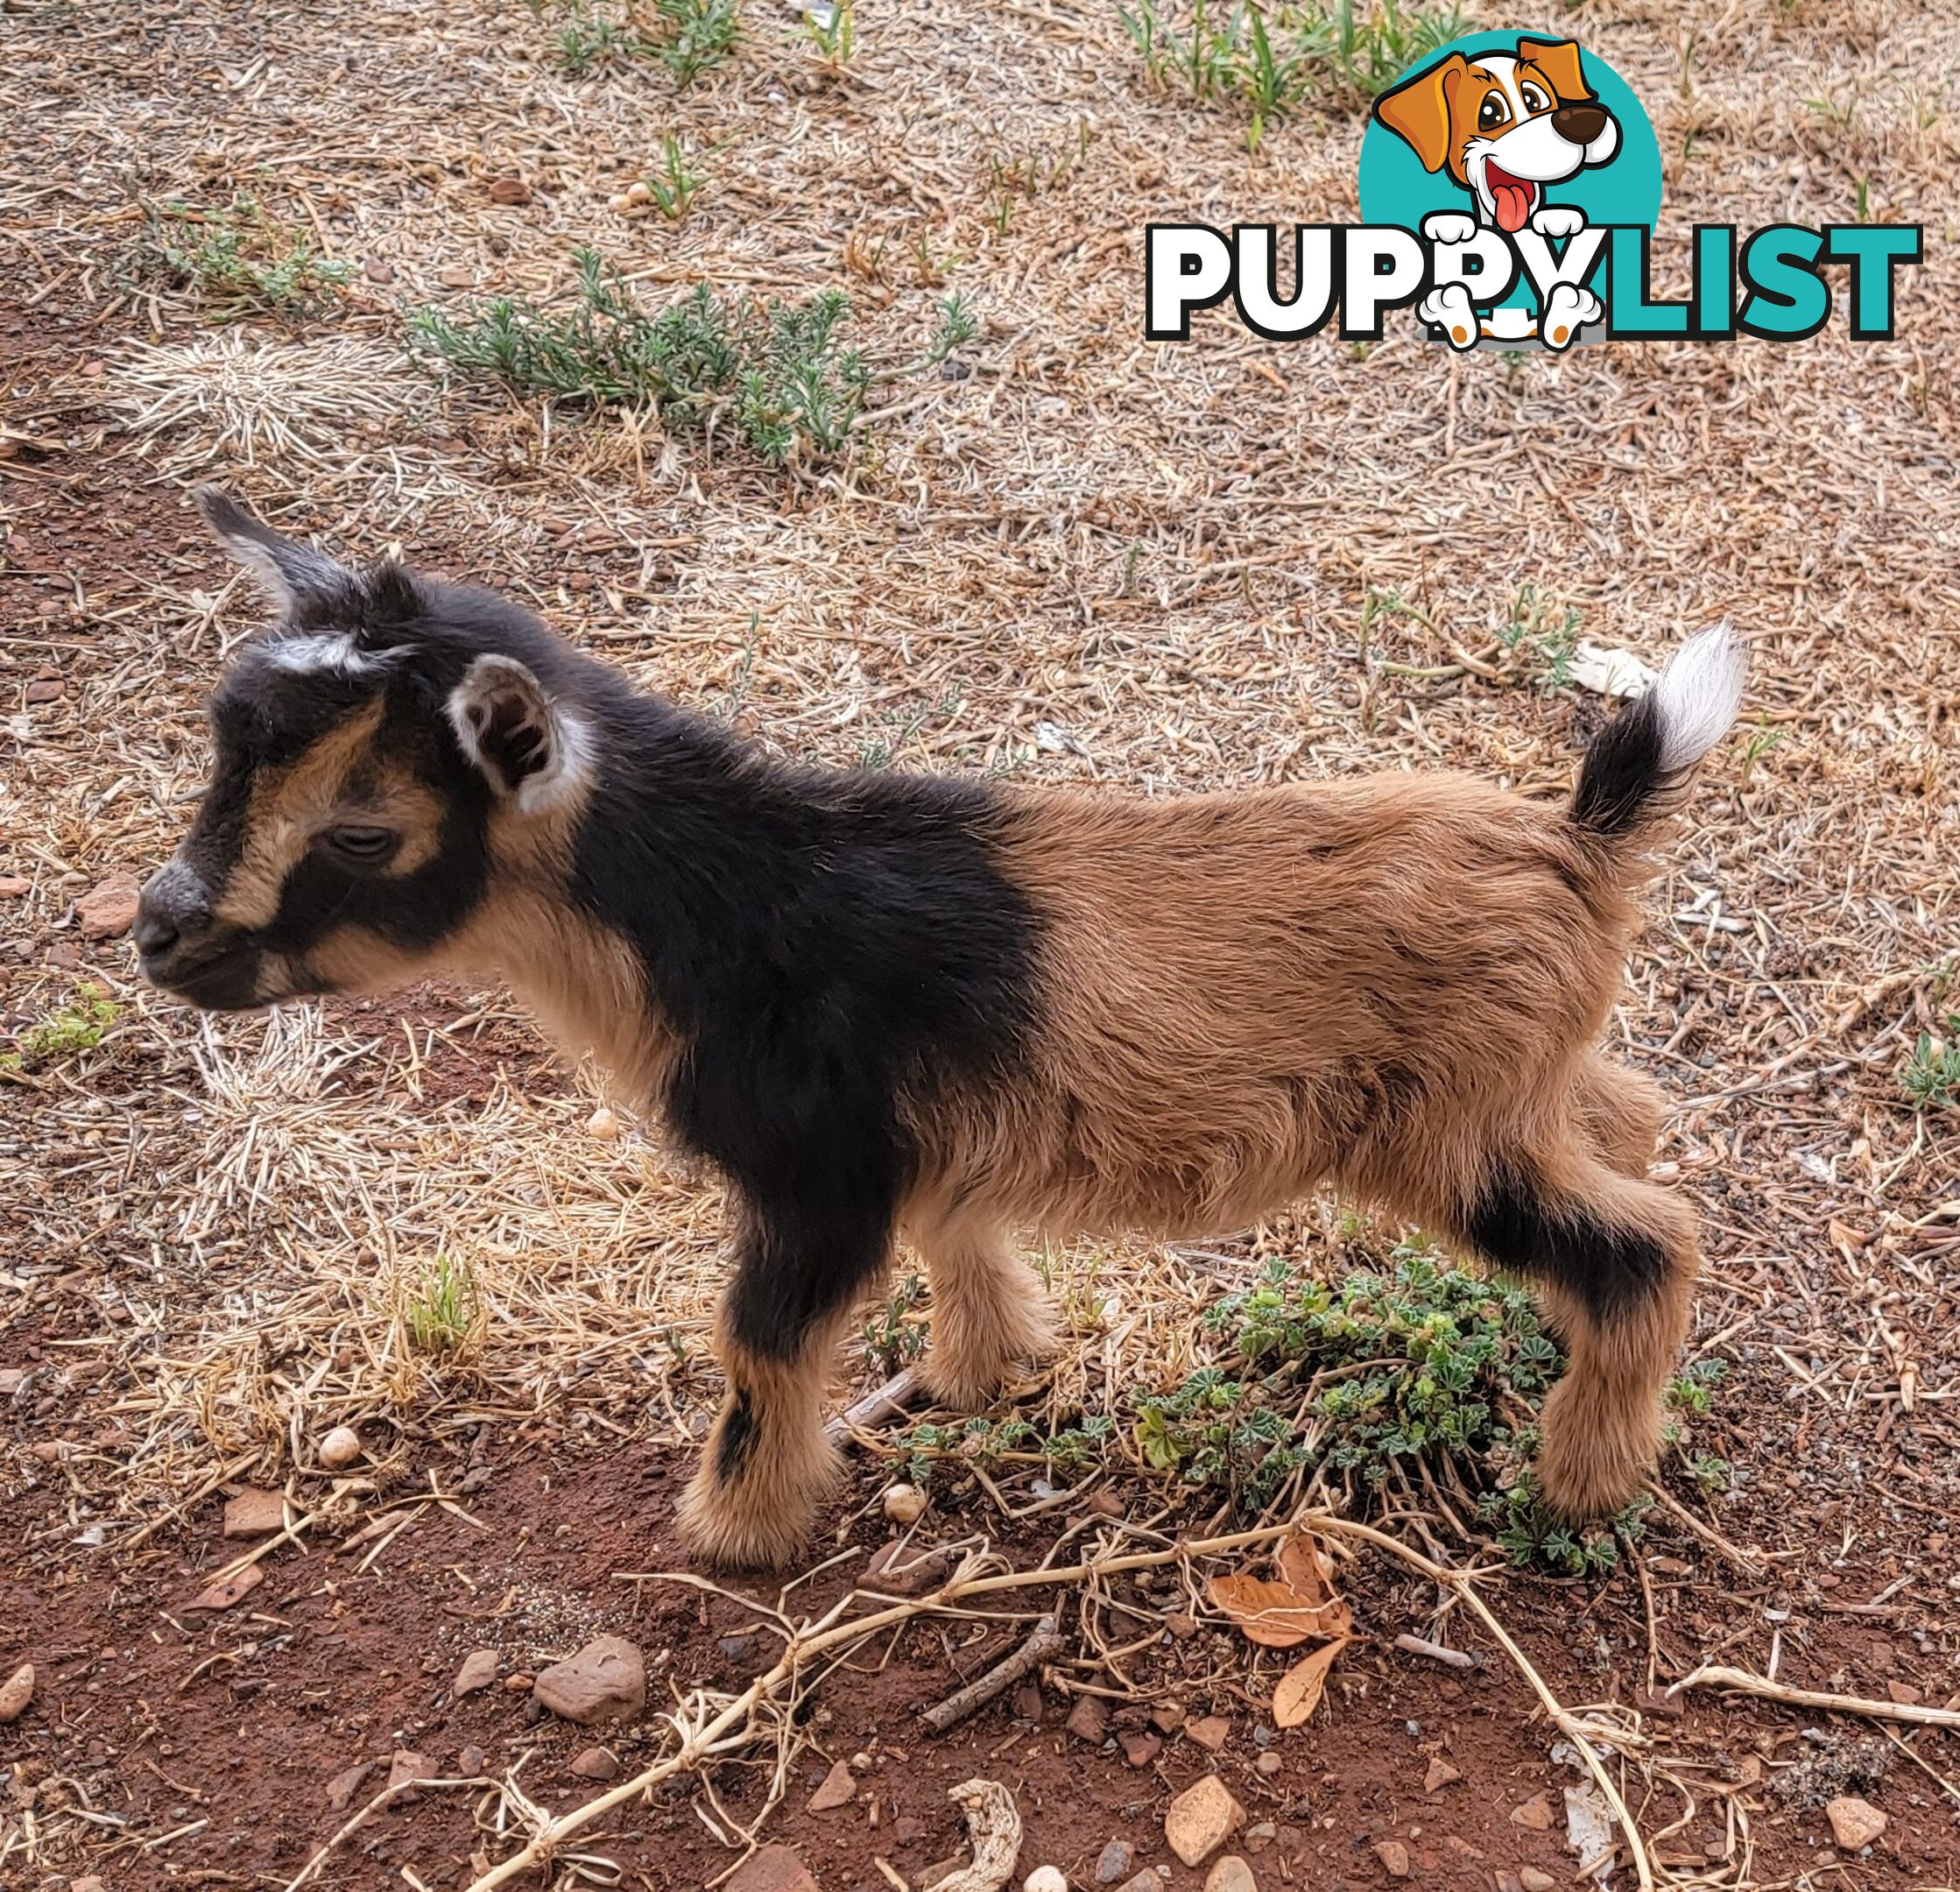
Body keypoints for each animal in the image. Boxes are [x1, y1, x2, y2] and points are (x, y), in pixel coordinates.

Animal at [145, 488, 1756, 1568]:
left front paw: (735, 1527)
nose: (162, 934)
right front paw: (992, 1370)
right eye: (223, 754)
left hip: (1447, 1130)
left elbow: (757, 1339)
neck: (733, 907)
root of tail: (1580, 840)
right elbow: (954, 1234)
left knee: (1644, 1250)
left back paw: (1578, 1483)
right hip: (1521, 1086)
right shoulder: (917, 1142)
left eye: (360, 833)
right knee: (1627, 1121)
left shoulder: (815, 1174)